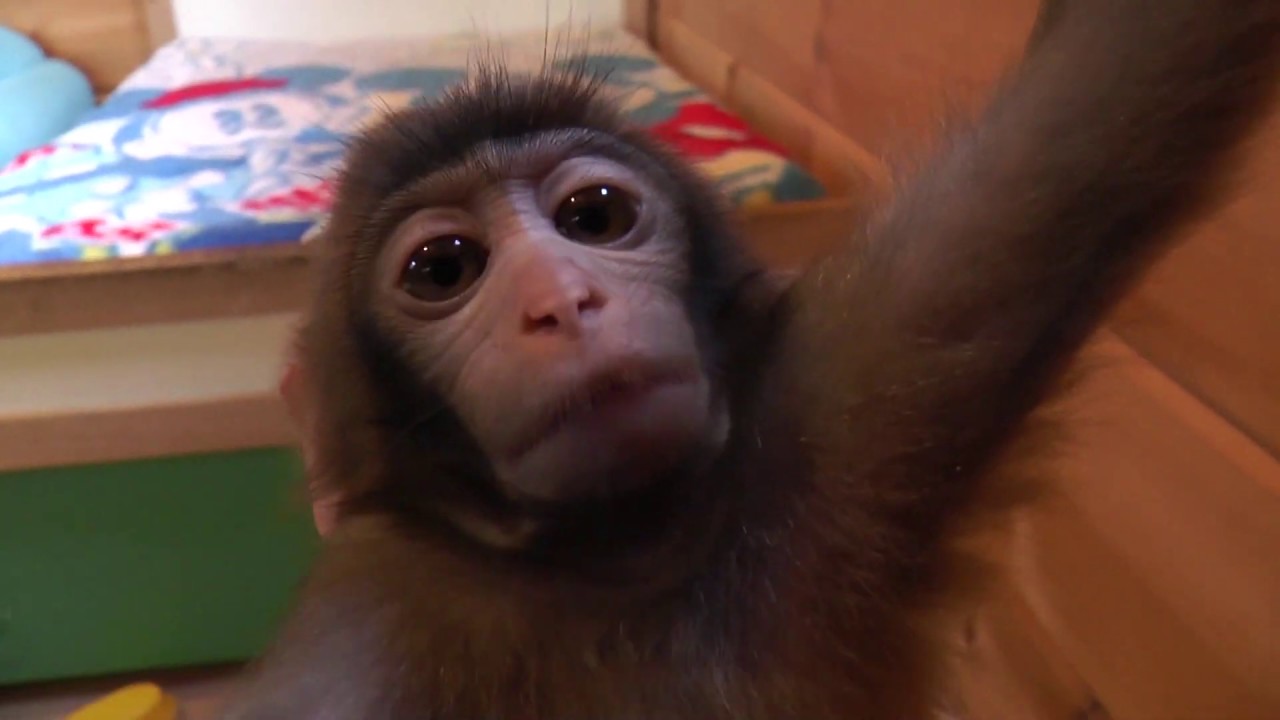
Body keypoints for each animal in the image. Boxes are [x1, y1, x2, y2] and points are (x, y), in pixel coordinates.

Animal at [220, 0, 1280, 718]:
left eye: (593, 216)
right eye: (442, 267)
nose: (563, 302)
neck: (617, 563)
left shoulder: (856, 385)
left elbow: (1135, 70)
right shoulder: (362, 640)